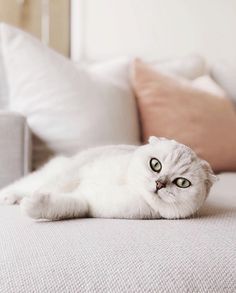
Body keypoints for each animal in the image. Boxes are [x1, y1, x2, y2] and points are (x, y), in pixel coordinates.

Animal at [0, 137, 217, 219]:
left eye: (182, 183)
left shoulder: (86, 204)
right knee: (30, 183)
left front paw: (34, 204)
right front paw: (32, 197)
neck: (129, 187)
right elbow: (55, 186)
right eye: (155, 165)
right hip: (55, 170)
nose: (159, 183)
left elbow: (65, 207)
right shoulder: (78, 169)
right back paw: (10, 195)